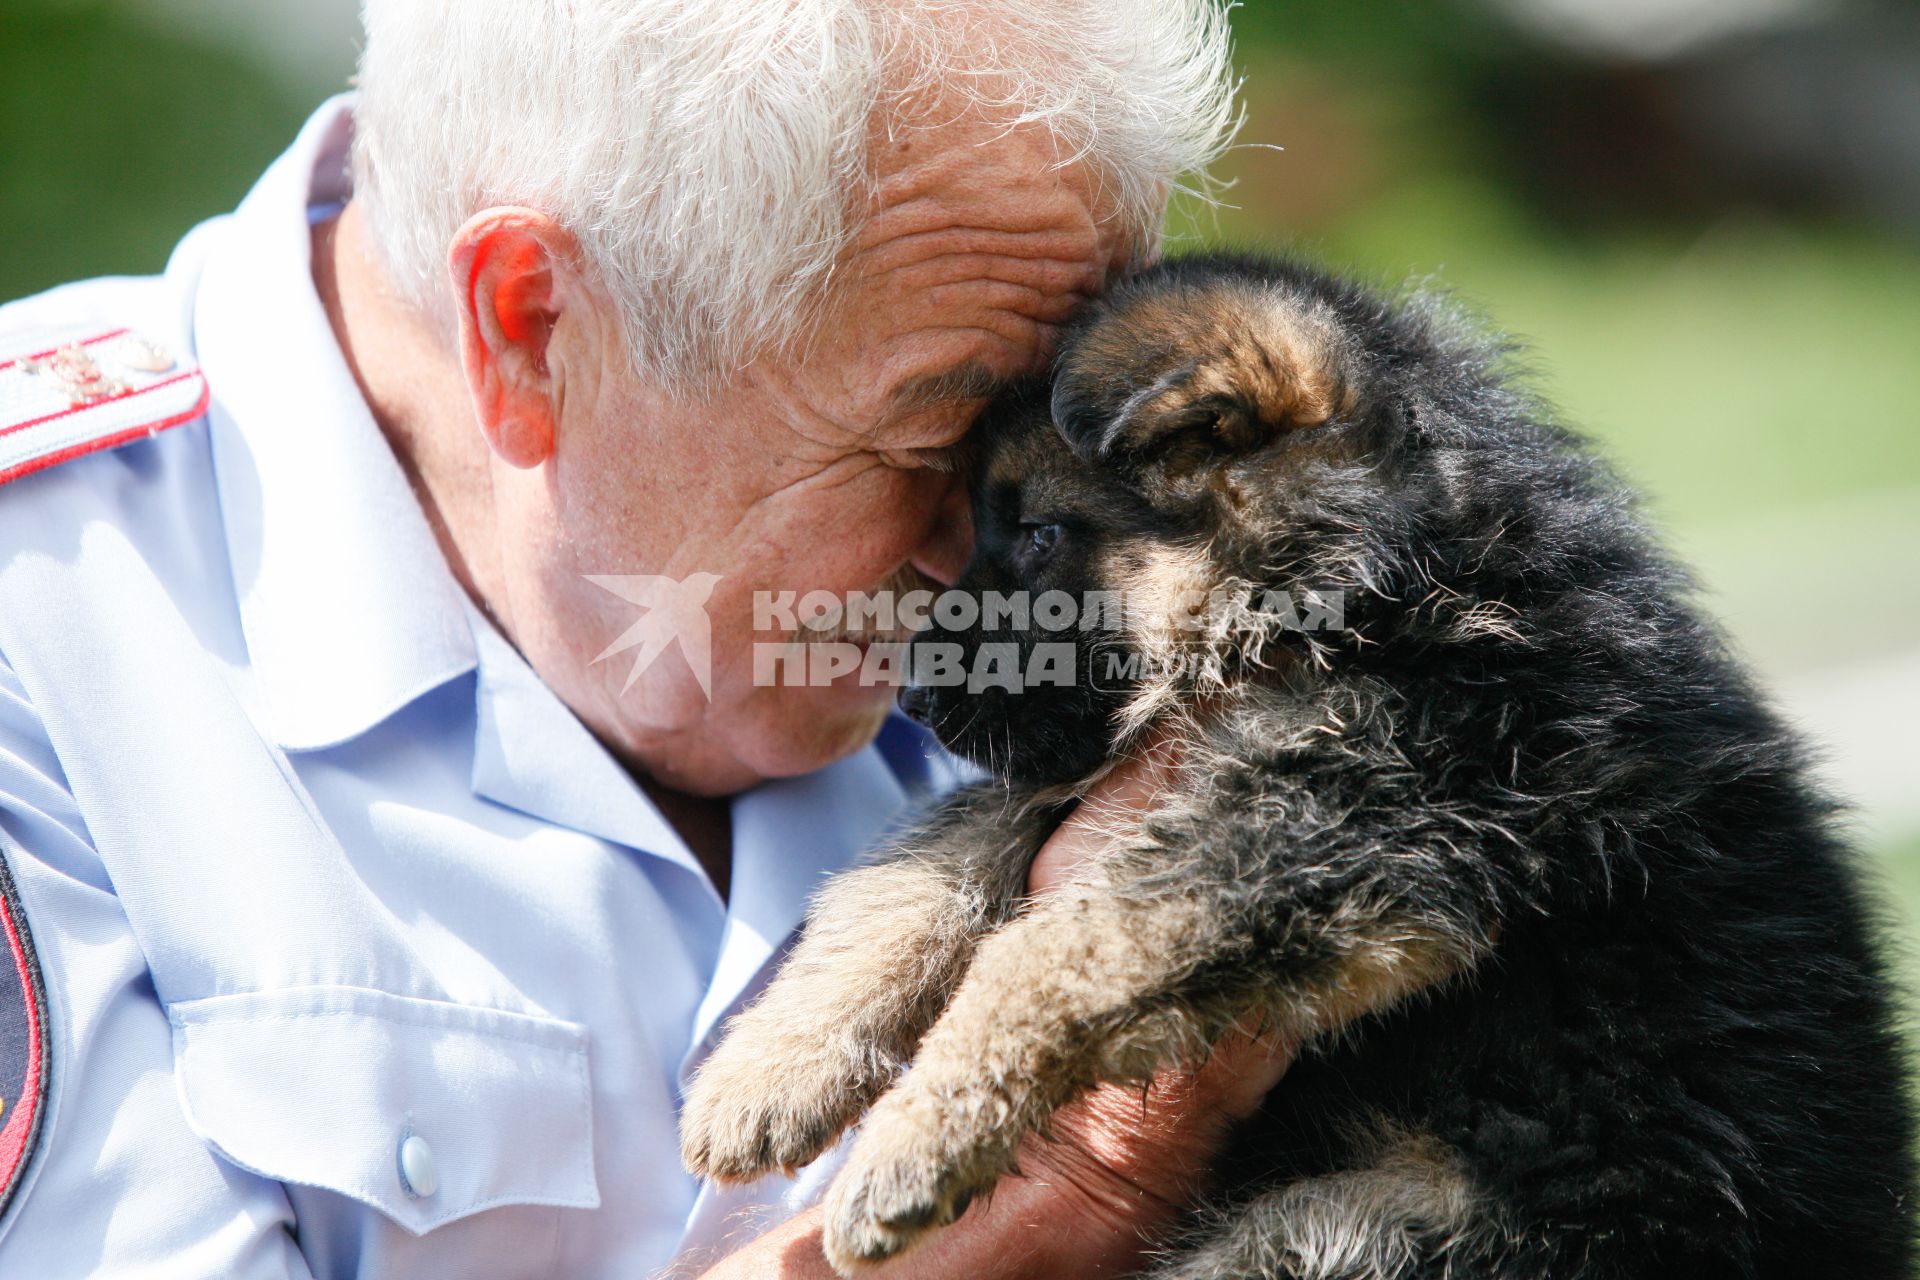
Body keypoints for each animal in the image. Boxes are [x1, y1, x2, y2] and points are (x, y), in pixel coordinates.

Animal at [683, 255, 1912, 1274]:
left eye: (1038, 533)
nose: (917, 700)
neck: (1373, 591)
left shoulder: (1357, 811)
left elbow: (1052, 945)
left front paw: (914, 1138)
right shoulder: (1142, 764)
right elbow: (924, 859)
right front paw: (771, 1069)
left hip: (1369, 1232)